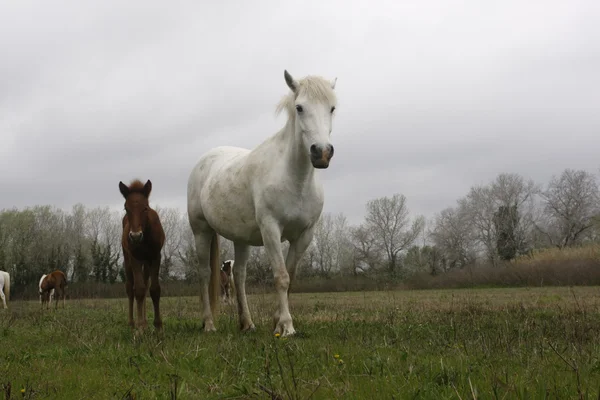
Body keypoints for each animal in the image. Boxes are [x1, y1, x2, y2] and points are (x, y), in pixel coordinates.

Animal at [118, 180, 165, 330]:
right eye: (126, 208)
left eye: (145, 208)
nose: (135, 236)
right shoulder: (135, 258)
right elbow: (138, 289)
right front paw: (139, 328)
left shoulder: (155, 257)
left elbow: (154, 289)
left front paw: (158, 326)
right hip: (127, 260)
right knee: (130, 288)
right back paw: (133, 323)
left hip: (147, 262)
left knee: (145, 283)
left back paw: (145, 322)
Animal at [188, 70, 338, 336]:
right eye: (299, 107)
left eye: (332, 108)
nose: (321, 153)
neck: (295, 179)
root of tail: (205, 160)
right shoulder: (271, 229)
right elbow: (281, 277)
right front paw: (287, 327)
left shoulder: (305, 235)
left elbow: (290, 277)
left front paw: (277, 321)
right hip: (201, 230)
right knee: (205, 274)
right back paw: (209, 324)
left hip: (241, 239)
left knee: (239, 275)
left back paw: (247, 323)